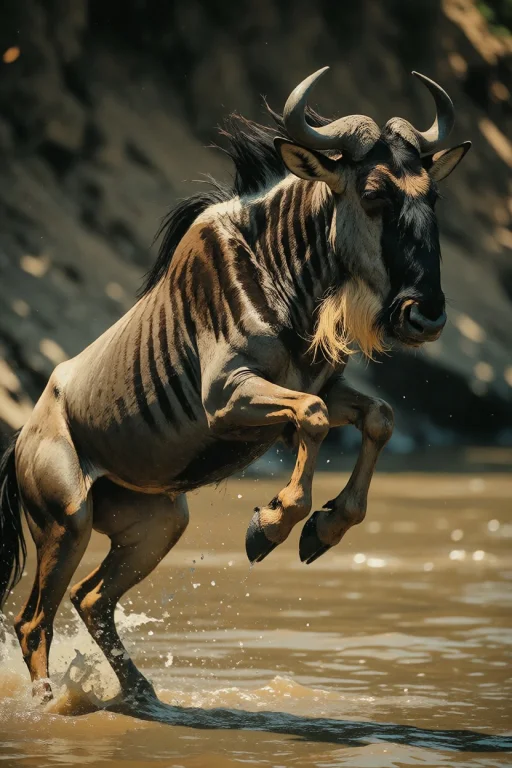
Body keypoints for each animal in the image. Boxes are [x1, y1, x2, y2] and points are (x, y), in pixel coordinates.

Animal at [0, 68, 470, 703]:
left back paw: (143, 694)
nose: (426, 315)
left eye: (432, 196)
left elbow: (379, 417)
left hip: (159, 525)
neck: (277, 271)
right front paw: (271, 525)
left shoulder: (324, 387)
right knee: (33, 622)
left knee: (91, 598)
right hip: (66, 519)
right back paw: (52, 706)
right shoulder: (227, 397)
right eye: (374, 194)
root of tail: (22, 440)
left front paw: (323, 529)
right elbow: (312, 417)